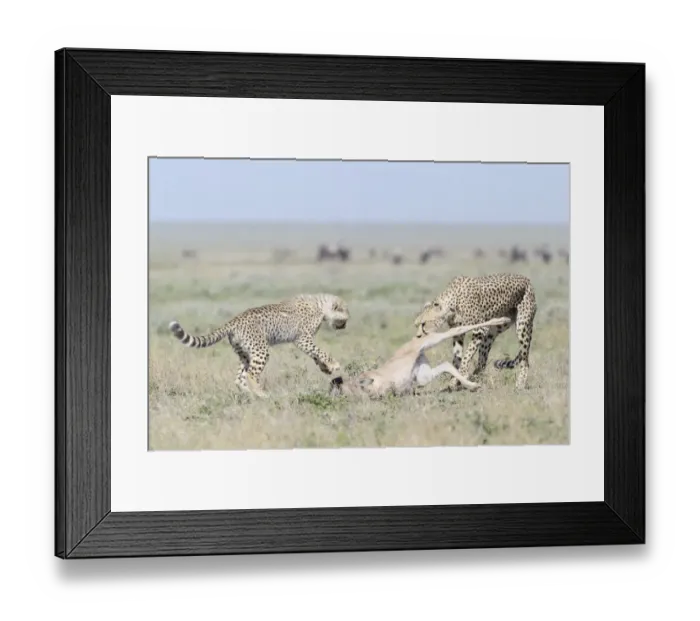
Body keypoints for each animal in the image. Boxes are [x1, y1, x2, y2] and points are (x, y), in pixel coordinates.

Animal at [168, 293, 350, 398]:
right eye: (345, 314)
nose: (345, 326)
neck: (321, 305)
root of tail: (235, 319)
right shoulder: (302, 339)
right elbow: (319, 351)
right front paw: (334, 364)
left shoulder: (305, 340)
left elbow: (316, 355)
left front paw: (326, 368)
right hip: (261, 350)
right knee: (251, 375)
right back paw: (261, 394)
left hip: (245, 353)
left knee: (239, 378)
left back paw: (249, 394)